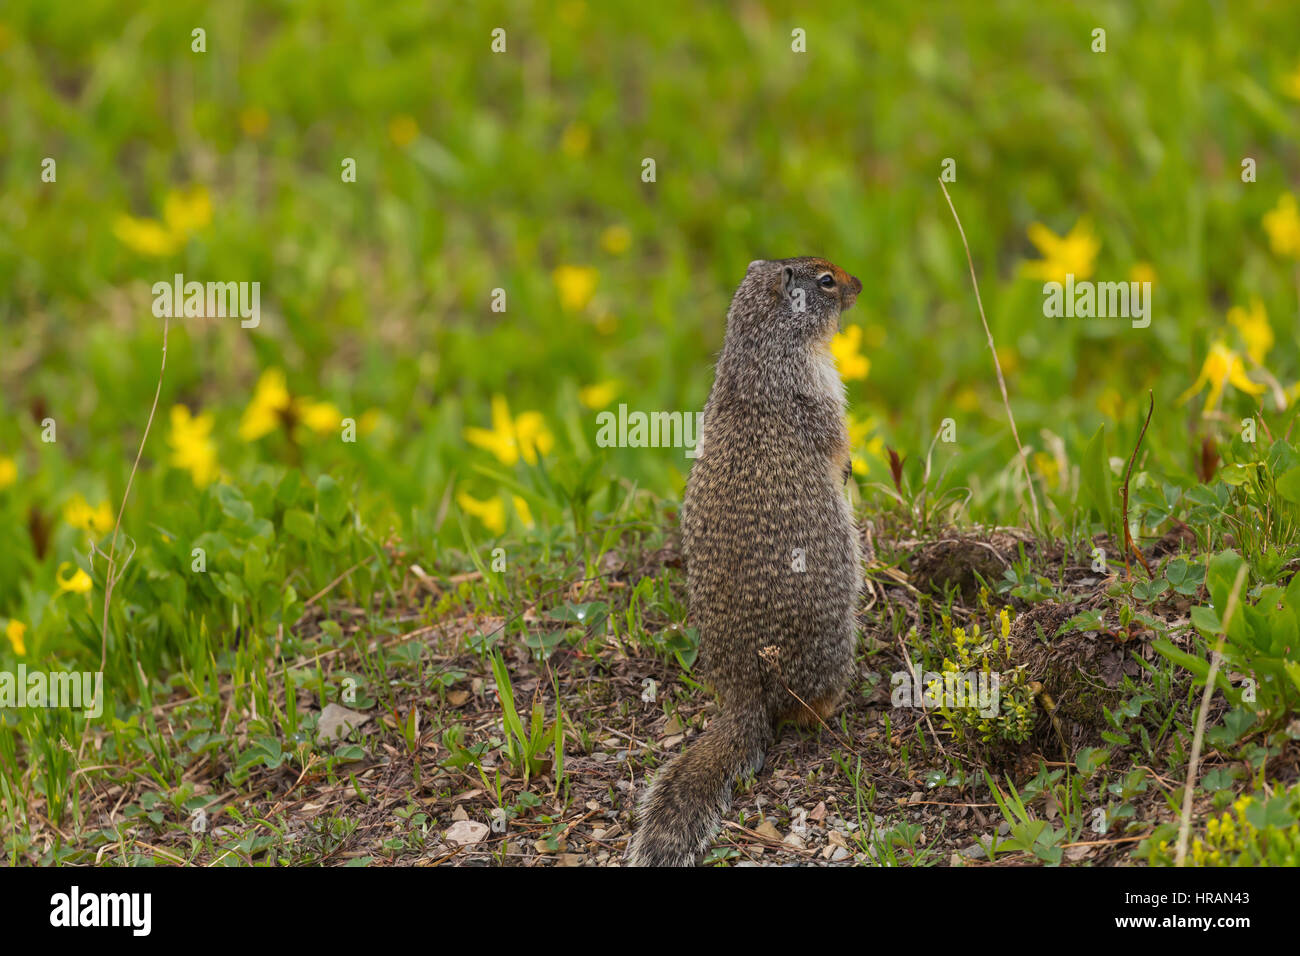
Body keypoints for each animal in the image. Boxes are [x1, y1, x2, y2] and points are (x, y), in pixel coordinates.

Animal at [628, 257, 864, 867]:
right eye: (826, 279)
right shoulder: (817, 387)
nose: (857, 284)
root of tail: (741, 696)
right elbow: (835, 435)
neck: (760, 349)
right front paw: (846, 468)